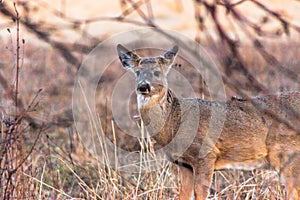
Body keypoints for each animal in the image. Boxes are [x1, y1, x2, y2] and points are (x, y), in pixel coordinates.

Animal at [116, 44, 300, 200]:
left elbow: (200, 194)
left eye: (157, 72)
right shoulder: (184, 164)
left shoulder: (205, 154)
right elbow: (183, 195)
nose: (143, 87)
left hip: (287, 154)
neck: (174, 121)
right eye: (137, 72)